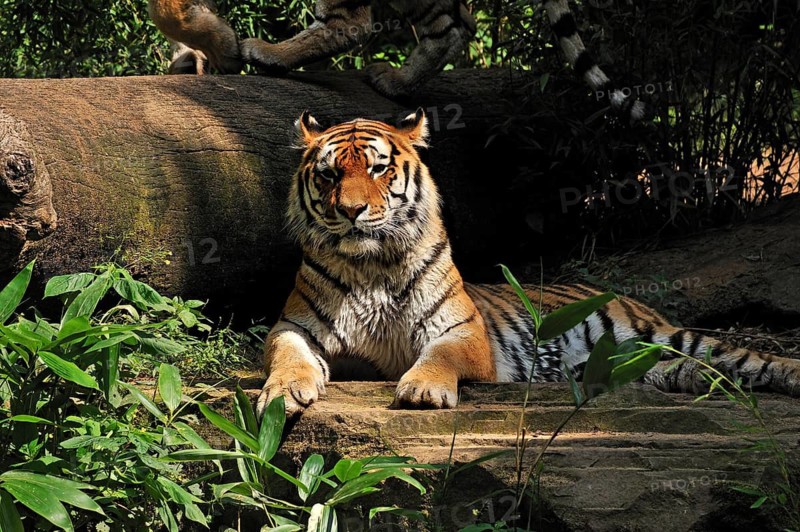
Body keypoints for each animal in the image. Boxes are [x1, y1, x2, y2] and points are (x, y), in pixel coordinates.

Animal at [257, 110, 799, 416]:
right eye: (329, 174)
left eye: (378, 169)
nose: (351, 211)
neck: (370, 266)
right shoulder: (293, 326)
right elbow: (288, 356)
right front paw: (282, 392)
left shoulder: (463, 331)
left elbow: (439, 356)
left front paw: (424, 390)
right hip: (637, 363)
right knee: (687, 371)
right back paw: (706, 385)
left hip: (664, 334)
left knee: (745, 357)